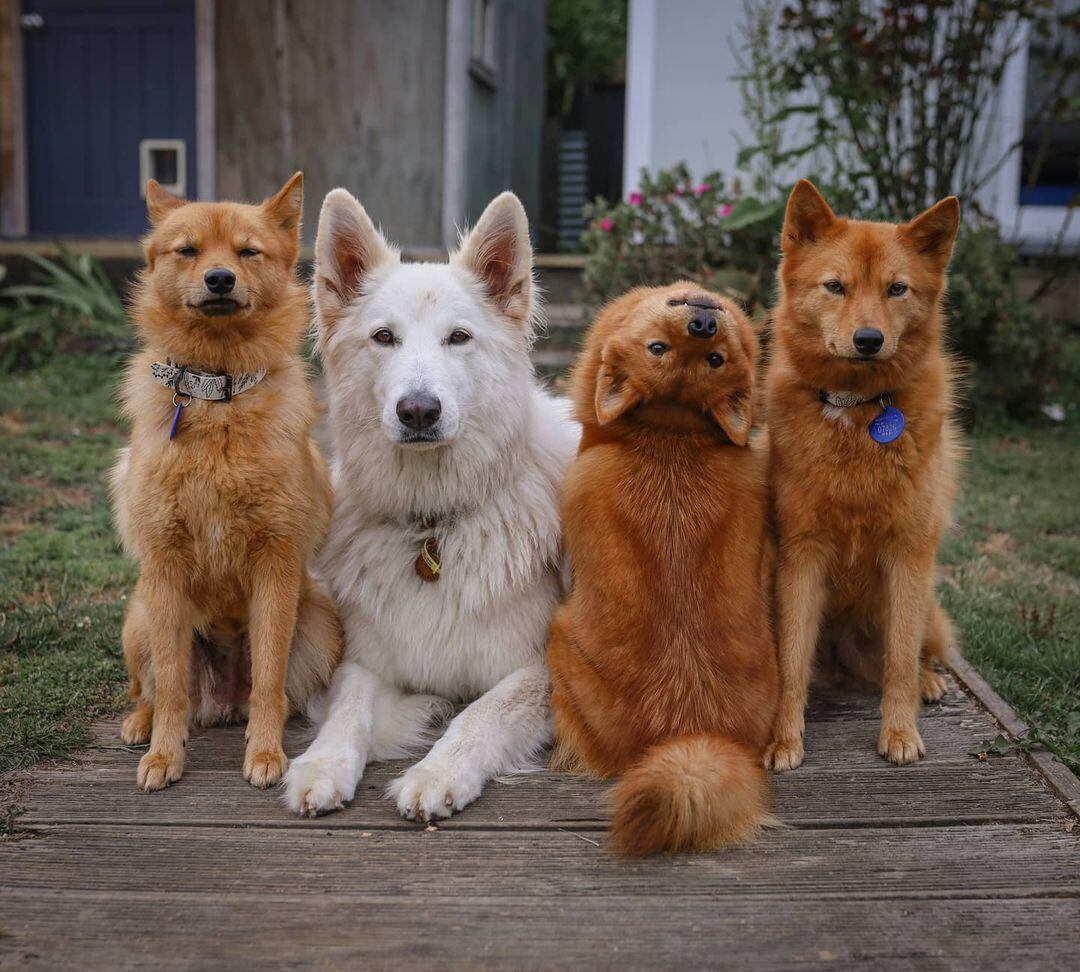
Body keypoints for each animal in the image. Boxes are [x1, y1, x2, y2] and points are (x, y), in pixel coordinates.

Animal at [111, 174, 339, 794]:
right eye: (187, 250)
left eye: (248, 251)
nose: (219, 279)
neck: (219, 395)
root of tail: (223, 699)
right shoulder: (164, 568)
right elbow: (169, 685)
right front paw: (165, 756)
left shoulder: (276, 565)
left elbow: (269, 682)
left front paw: (264, 753)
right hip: (140, 618)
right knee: (154, 690)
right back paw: (141, 724)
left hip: (318, 624)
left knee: (273, 689)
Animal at [280, 185, 583, 816]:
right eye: (384, 337)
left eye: (458, 337)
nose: (418, 411)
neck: (434, 526)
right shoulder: (367, 661)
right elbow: (347, 710)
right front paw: (321, 765)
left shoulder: (539, 669)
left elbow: (480, 714)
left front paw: (436, 772)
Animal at [764, 184, 967, 773]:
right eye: (835, 286)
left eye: (896, 289)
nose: (869, 339)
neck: (857, 411)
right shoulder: (800, 556)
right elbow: (789, 663)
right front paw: (784, 740)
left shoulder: (908, 557)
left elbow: (899, 658)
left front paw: (899, 732)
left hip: (925, 607)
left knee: (912, 656)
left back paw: (928, 682)